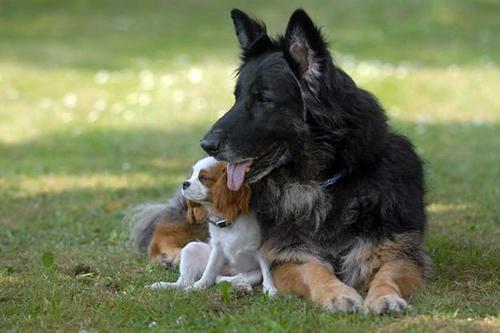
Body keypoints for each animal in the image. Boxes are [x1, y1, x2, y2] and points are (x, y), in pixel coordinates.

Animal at [152, 156, 278, 294]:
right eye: (192, 175)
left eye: (203, 178)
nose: (184, 183)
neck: (229, 220)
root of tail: (228, 272)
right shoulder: (217, 248)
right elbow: (209, 271)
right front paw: (199, 286)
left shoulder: (262, 249)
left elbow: (266, 271)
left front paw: (270, 289)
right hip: (191, 248)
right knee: (186, 282)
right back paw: (165, 285)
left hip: (254, 273)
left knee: (233, 278)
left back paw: (242, 286)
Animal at [201, 8, 428, 314]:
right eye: (236, 97)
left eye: (263, 99)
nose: (206, 145)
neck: (323, 183)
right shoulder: (289, 257)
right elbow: (315, 271)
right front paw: (337, 294)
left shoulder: (398, 251)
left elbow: (387, 274)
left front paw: (385, 297)